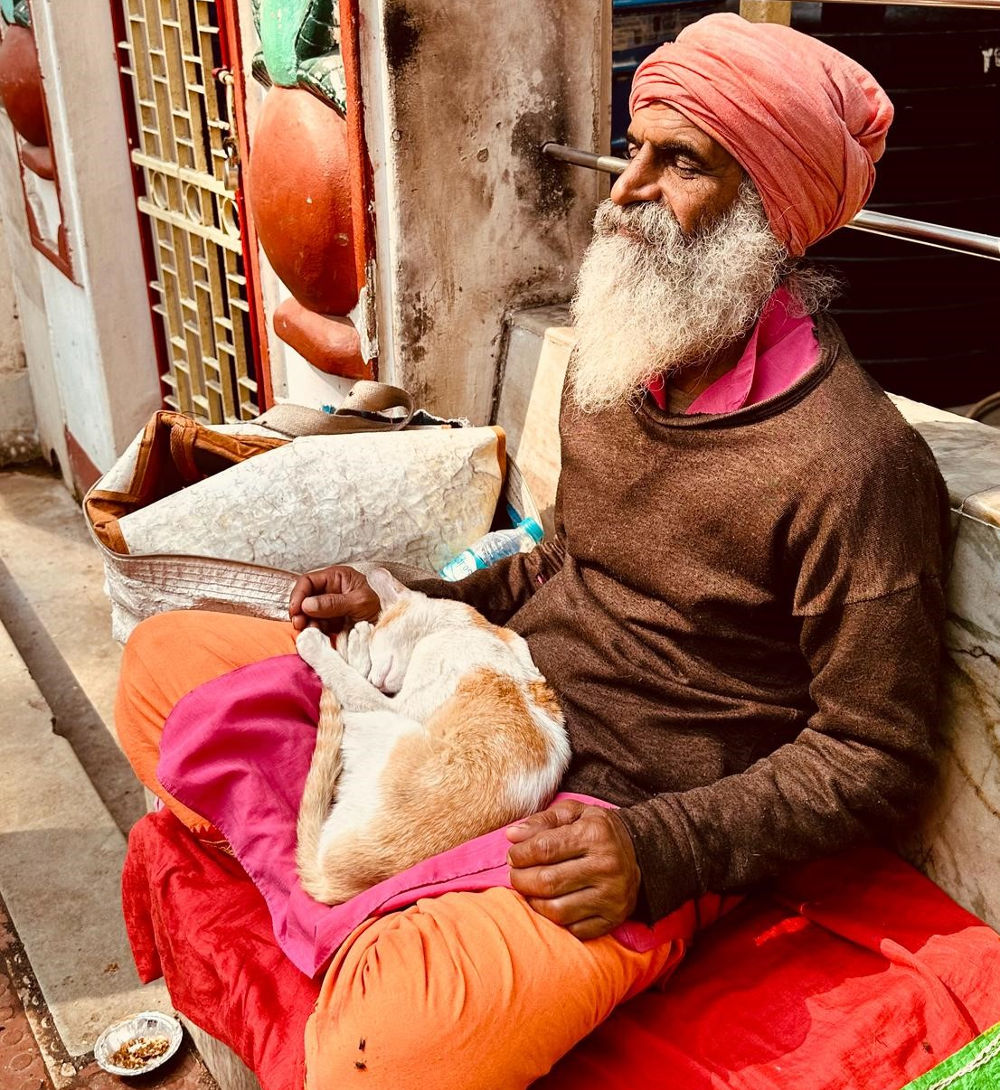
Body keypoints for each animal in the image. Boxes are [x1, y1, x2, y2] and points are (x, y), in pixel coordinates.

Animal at [292, 566, 567, 906]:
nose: (377, 679)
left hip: (386, 725)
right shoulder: (517, 644)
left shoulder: (398, 703)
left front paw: (348, 643)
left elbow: (353, 682)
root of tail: (332, 881)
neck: (477, 629)